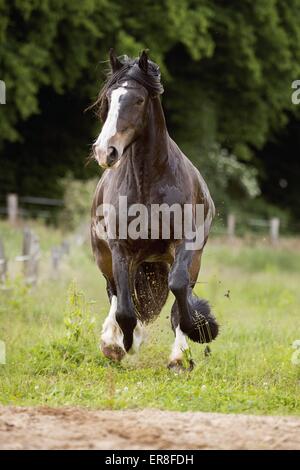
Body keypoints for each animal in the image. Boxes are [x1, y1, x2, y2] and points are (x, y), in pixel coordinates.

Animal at [90, 49, 219, 370]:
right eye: (109, 99)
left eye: (138, 100)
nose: (105, 151)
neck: (149, 181)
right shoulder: (120, 248)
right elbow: (125, 308)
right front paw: (125, 343)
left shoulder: (185, 243)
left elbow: (179, 287)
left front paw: (195, 335)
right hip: (104, 256)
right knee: (115, 293)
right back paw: (112, 343)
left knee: (179, 292)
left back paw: (178, 355)